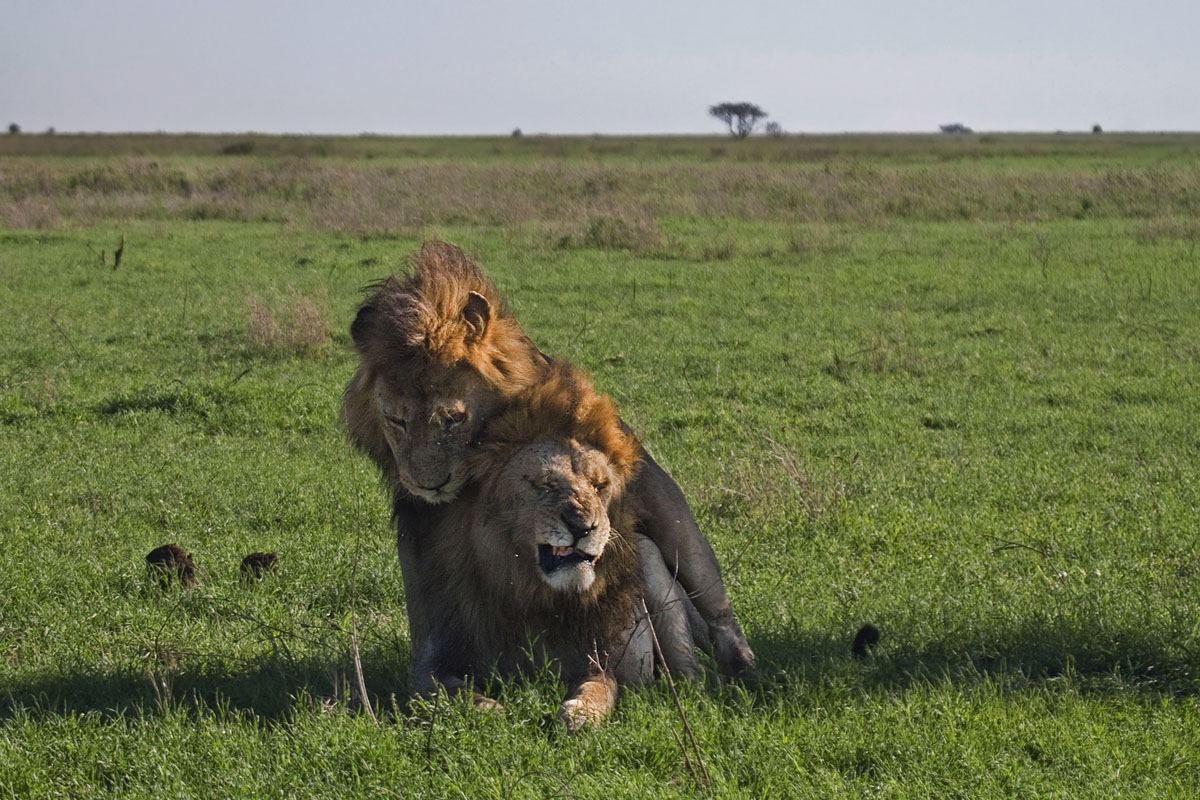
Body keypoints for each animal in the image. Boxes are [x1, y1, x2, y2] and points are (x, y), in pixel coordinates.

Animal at [409, 361, 697, 729]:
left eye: (600, 486)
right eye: (544, 484)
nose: (583, 527)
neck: (536, 595)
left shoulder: (597, 660)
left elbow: (600, 686)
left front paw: (580, 713)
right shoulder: (432, 659)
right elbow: (446, 689)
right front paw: (488, 709)